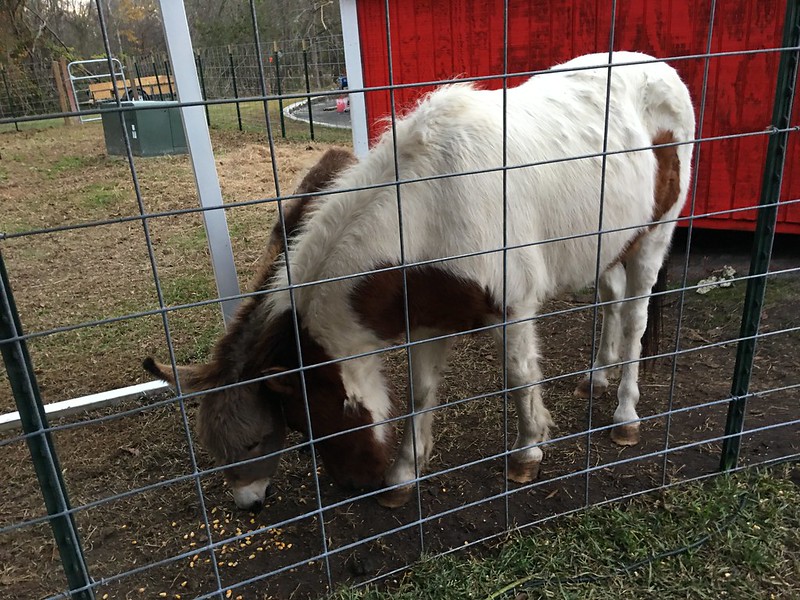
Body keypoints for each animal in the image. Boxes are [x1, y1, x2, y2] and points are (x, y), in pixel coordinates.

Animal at [147, 52, 696, 510]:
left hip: (654, 237)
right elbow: (420, 393)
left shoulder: (514, 310)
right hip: (609, 242)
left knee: (635, 317)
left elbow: (519, 379)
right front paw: (403, 475)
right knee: (612, 300)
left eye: (295, 424)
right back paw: (597, 376)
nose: (356, 484)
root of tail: (663, 71)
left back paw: (625, 415)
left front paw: (527, 453)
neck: (434, 205)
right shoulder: (428, 317)